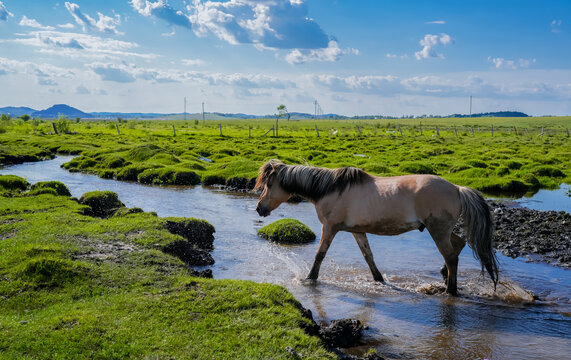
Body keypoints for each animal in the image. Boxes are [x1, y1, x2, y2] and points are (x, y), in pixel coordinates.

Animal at [256, 160, 500, 296]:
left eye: (269, 184)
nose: (259, 209)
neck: (330, 189)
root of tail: (457, 188)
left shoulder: (330, 228)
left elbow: (320, 255)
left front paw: (309, 278)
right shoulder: (357, 230)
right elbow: (368, 256)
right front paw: (379, 279)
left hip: (437, 230)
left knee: (451, 256)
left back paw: (450, 290)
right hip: (444, 230)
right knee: (459, 244)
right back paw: (443, 276)